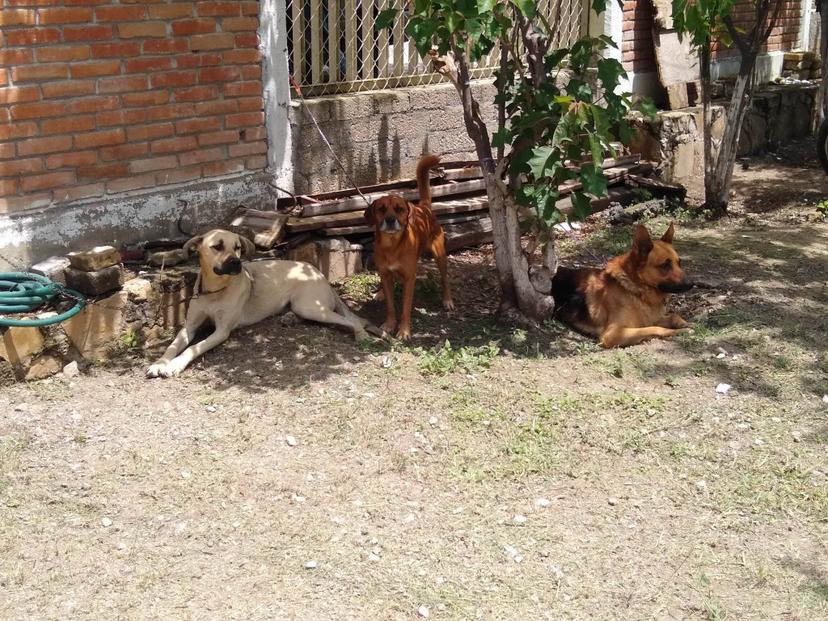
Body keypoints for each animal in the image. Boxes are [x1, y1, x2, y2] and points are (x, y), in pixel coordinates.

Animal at [150, 226, 378, 376]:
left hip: (309, 306)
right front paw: (160, 363)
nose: (236, 263)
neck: (214, 291)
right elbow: (172, 346)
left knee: (350, 320)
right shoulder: (189, 326)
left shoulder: (222, 331)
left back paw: (361, 335)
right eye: (217, 246)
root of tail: (317, 273)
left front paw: (174, 366)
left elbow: (193, 348)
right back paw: (289, 319)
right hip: (305, 307)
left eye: (238, 247)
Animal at [364, 155, 452, 340]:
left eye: (399, 209)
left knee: (445, 279)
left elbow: (405, 309)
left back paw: (448, 300)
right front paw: (389, 324)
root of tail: (424, 207)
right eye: (381, 209)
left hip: (440, 255)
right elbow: (390, 306)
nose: (390, 220)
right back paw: (380, 293)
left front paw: (404, 331)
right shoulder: (385, 274)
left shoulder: (409, 279)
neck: (392, 246)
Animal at [552, 223, 696, 348]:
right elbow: (654, 328)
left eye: (679, 263)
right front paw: (679, 331)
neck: (635, 290)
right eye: (665, 265)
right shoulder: (613, 334)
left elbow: (673, 316)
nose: (691, 284)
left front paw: (684, 324)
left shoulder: (651, 318)